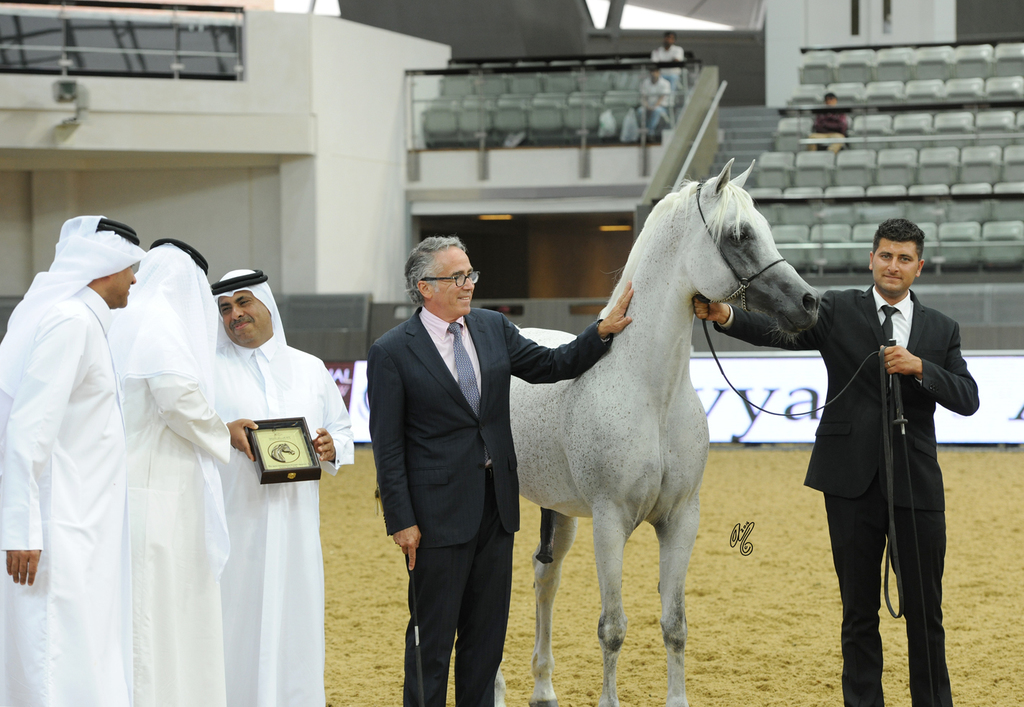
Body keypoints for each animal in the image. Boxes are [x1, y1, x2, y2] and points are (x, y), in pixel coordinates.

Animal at [494, 159, 820, 707]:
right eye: (739, 234)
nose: (810, 302)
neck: (651, 393)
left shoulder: (681, 520)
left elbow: (674, 624)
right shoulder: (609, 522)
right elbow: (612, 628)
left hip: (558, 511)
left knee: (545, 579)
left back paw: (542, 687)